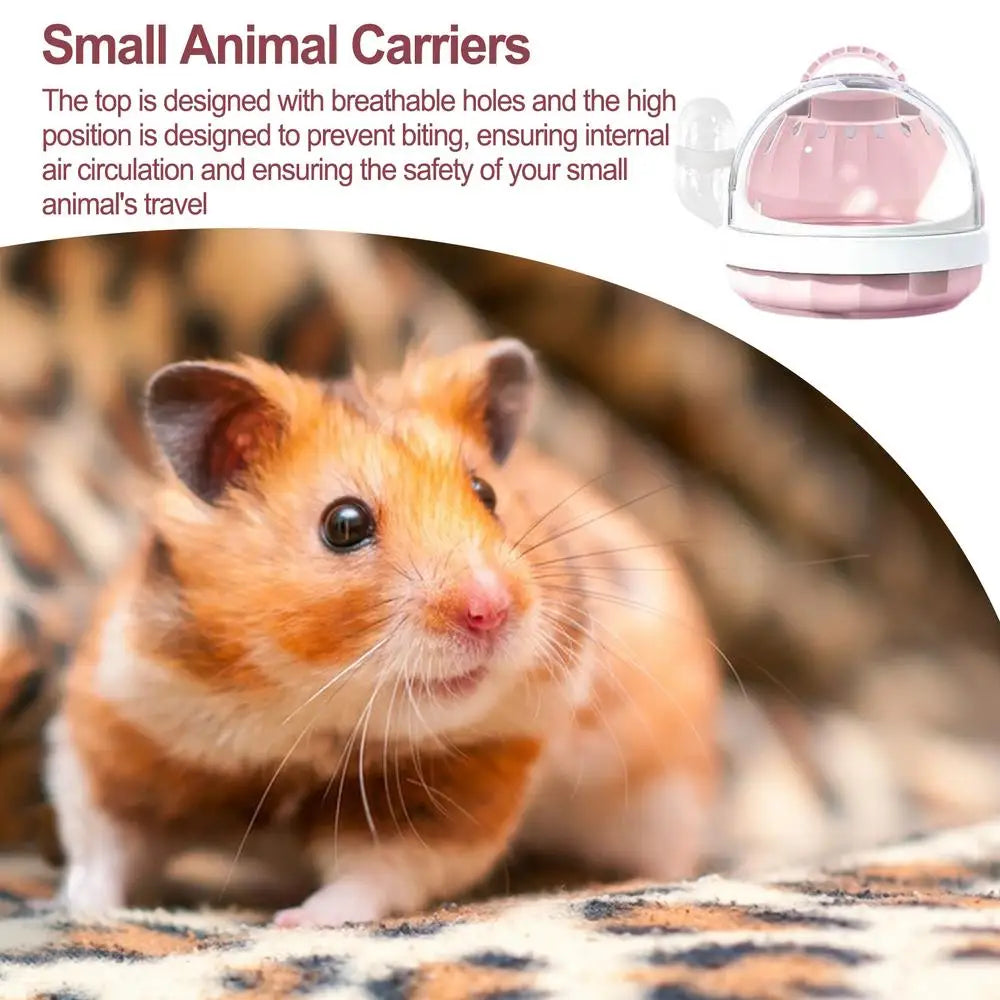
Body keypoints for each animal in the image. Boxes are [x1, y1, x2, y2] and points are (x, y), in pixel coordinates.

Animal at [45, 338, 720, 926]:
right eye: (344, 524)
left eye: (487, 494)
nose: (492, 609)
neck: (305, 711)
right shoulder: (115, 731)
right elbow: (102, 840)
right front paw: (83, 910)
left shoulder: (457, 789)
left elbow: (373, 874)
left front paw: (296, 921)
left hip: (664, 797)